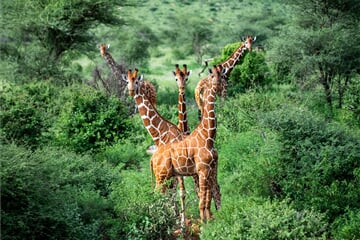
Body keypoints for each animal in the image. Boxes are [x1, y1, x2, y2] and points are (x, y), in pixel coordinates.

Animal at [150, 64, 224, 222]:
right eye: (212, 76)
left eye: (222, 75)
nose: (217, 85)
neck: (208, 136)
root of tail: (152, 158)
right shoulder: (202, 170)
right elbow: (202, 200)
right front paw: (204, 222)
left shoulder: (208, 169)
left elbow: (205, 199)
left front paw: (207, 220)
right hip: (162, 176)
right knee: (157, 195)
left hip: (167, 177)